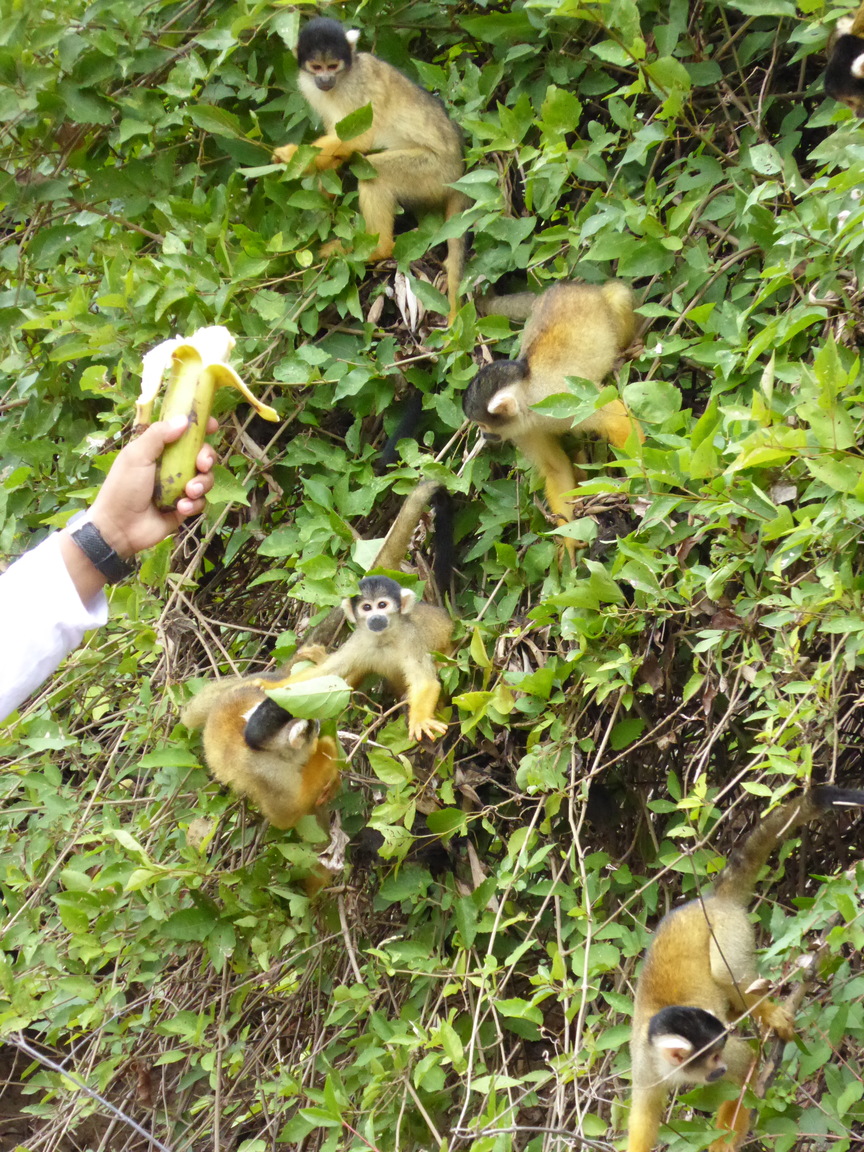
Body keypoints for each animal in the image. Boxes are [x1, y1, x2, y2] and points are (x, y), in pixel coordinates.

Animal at [258, 574, 454, 743]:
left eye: (382, 605)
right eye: (366, 607)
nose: (376, 617)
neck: (383, 638)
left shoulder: (411, 638)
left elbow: (425, 681)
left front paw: (420, 721)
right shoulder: (359, 639)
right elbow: (327, 673)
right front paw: (269, 686)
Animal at [272, 17, 468, 321]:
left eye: (332, 66)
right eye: (317, 67)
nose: (324, 80)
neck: (343, 78)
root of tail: (459, 169)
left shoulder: (357, 88)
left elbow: (359, 138)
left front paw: (292, 156)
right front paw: (326, 194)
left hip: (433, 174)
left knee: (376, 171)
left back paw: (378, 247)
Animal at [462, 280, 641, 560]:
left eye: (482, 425)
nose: (484, 436)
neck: (530, 403)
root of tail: (568, 284)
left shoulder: (567, 397)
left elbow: (618, 420)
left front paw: (642, 477)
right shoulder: (523, 431)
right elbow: (555, 466)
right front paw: (568, 538)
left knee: (618, 295)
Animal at [627, 784, 864, 1152]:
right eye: (711, 1059)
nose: (719, 1068)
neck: (671, 1067)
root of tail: (713, 899)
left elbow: (746, 1071)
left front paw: (722, 1145)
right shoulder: (644, 1066)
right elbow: (643, 1120)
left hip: (731, 927)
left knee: (726, 973)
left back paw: (770, 1013)